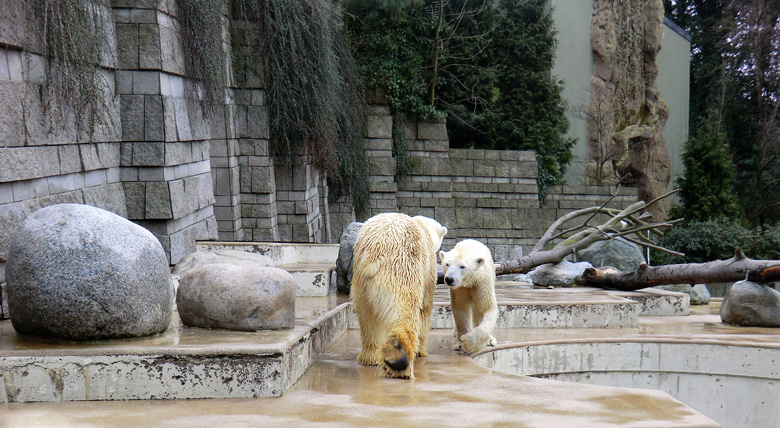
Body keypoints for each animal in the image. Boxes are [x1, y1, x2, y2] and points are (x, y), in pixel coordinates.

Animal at [350, 213, 448, 378]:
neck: (424, 227)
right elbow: (425, 307)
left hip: (360, 280)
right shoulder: (427, 268)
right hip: (401, 265)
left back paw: (370, 357)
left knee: (367, 315)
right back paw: (399, 357)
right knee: (405, 306)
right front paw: (421, 351)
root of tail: (374, 250)